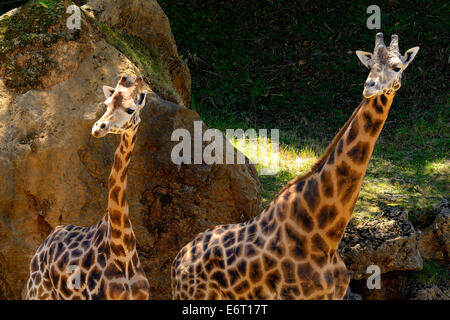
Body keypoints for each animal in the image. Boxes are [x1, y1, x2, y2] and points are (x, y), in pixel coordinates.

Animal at [25, 75, 150, 300]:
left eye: (130, 110)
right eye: (107, 104)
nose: (98, 128)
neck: (123, 251)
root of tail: (46, 241)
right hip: (38, 291)